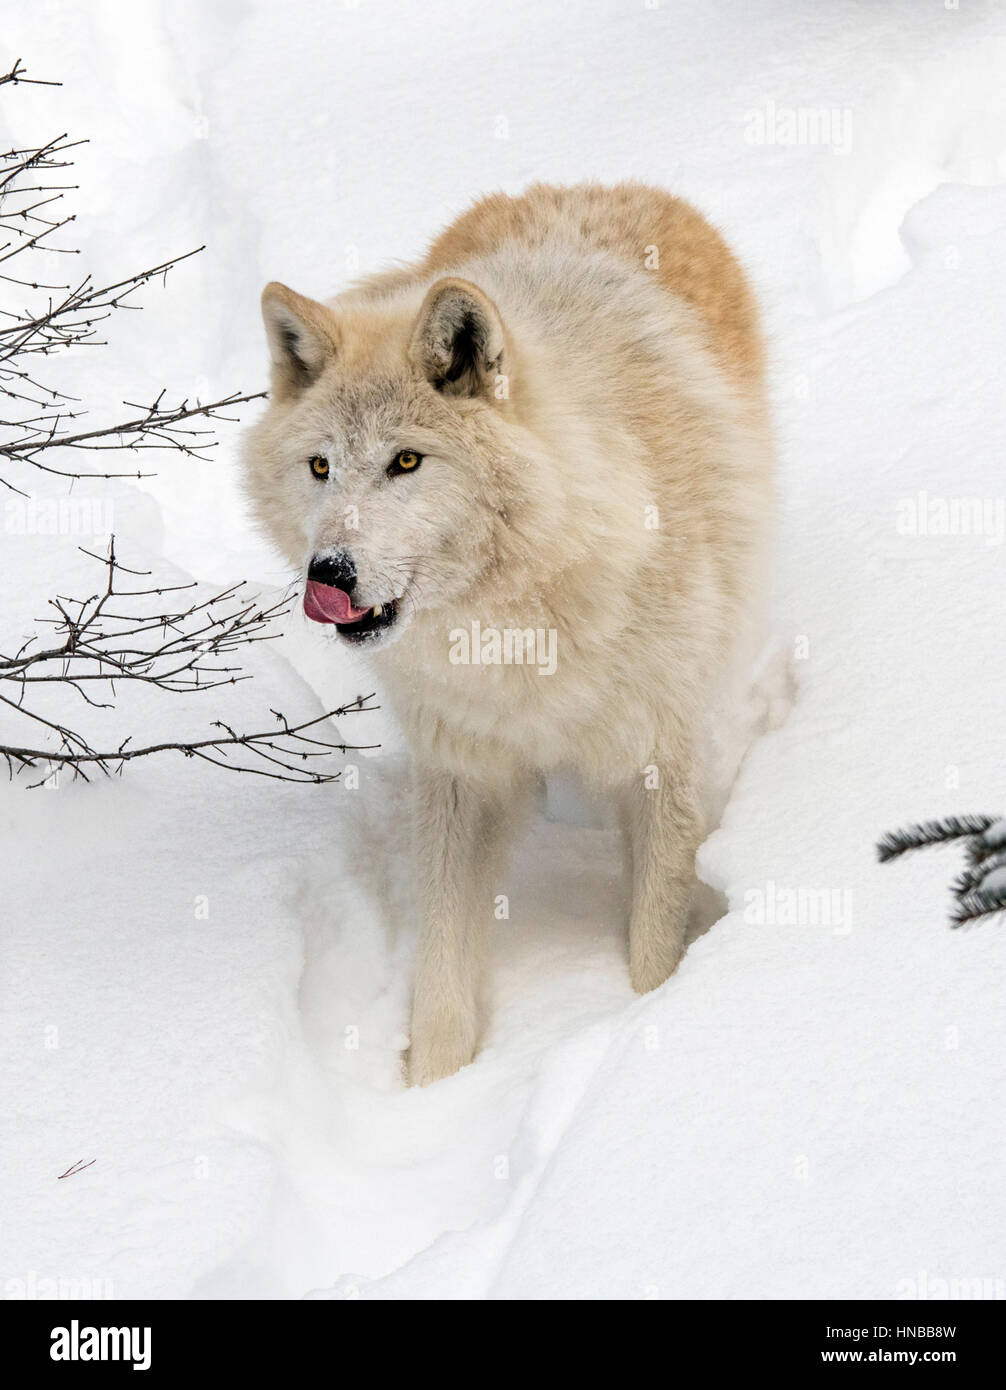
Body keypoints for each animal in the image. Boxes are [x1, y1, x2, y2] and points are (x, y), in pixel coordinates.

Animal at [243, 182, 774, 1084]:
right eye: (321, 467)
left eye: (406, 462)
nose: (328, 575)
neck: (511, 626)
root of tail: (591, 186)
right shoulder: (461, 769)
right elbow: (441, 964)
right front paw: (432, 1091)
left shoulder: (660, 756)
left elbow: (653, 936)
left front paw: (646, 1026)